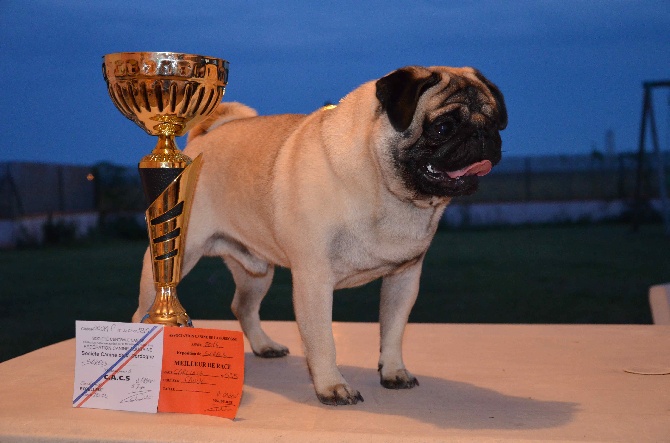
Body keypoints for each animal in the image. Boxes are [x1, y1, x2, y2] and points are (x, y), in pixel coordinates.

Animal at [134, 65, 506, 406]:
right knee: (146, 307)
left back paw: (264, 346)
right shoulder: (314, 280)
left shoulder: (404, 279)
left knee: (242, 306)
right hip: (176, 252)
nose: (483, 136)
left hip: (257, 272)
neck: (385, 189)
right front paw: (332, 387)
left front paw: (393, 372)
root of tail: (202, 141)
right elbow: (323, 340)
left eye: (493, 122)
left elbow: (393, 330)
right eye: (443, 127)